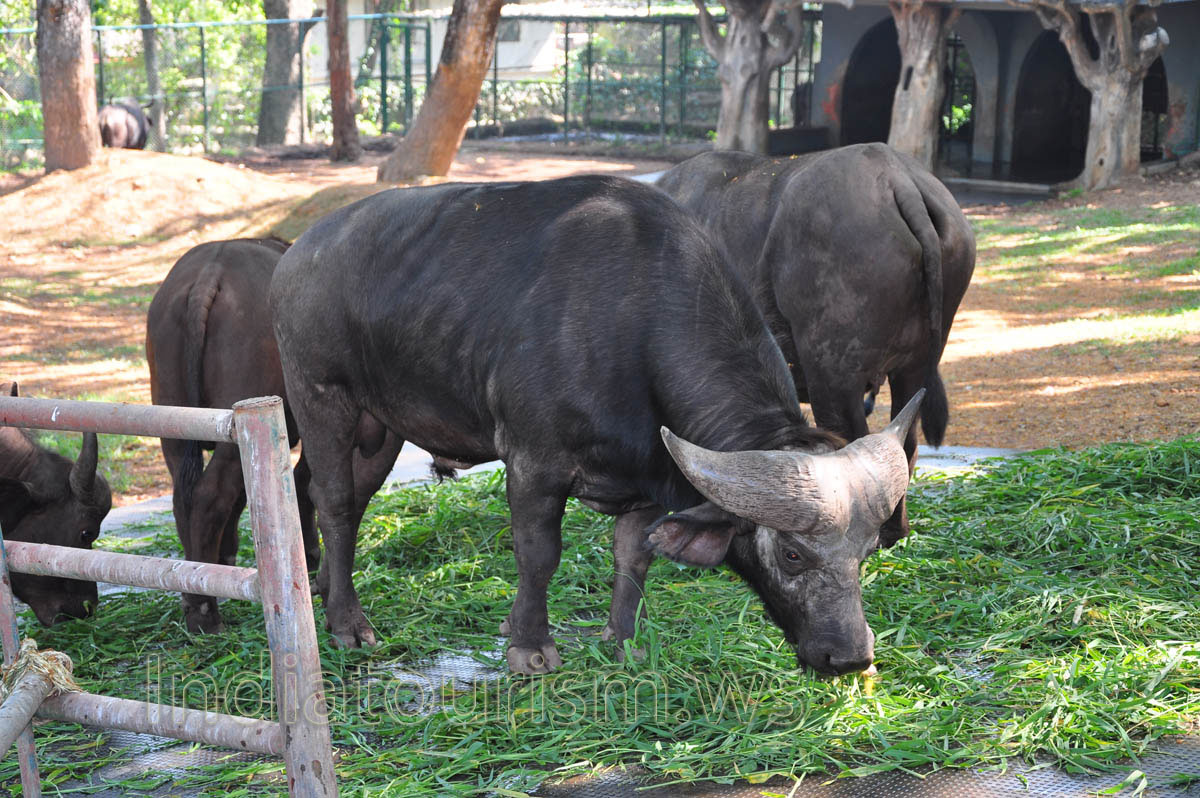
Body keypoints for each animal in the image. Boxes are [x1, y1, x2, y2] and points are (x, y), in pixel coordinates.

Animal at [146, 237, 401, 634]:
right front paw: (309, 554)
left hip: (173, 426)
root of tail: (210, 271)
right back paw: (205, 611)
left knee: (186, 497)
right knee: (211, 495)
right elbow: (303, 485)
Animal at [270, 175, 922, 675]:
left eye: (868, 550)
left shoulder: (649, 478)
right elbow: (539, 555)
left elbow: (633, 558)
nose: (849, 657)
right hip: (322, 398)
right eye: (790, 554)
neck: (635, 323)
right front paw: (530, 646)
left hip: (383, 427)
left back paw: (325, 589)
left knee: (346, 498)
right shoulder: (534, 463)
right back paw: (347, 623)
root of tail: (299, 253)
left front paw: (622, 640)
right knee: (334, 500)